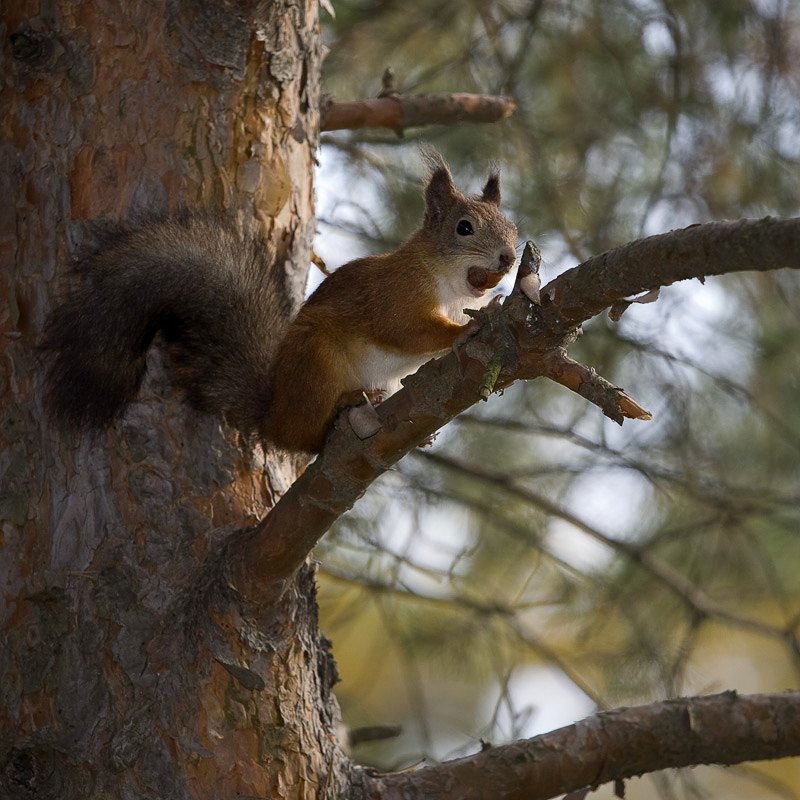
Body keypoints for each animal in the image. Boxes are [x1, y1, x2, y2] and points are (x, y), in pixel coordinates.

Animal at [42, 153, 520, 454]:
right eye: (464, 228)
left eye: (512, 227)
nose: (508, 258)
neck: (445, 285)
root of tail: (273, 413)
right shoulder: (396, 296)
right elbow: (409, 331)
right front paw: (469, 328)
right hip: (317, 362)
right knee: (302, 439)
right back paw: (340, 410)